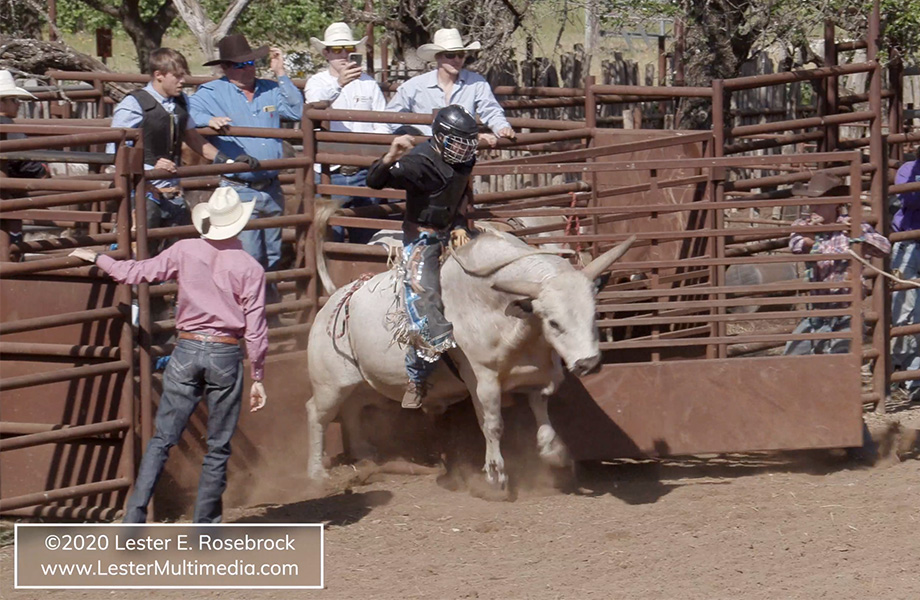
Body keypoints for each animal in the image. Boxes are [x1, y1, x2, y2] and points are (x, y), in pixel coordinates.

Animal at [306, 232, 636, 490]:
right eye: (554, 322)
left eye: (594, 313)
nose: (588, 363)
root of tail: (336, 300)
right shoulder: (483, 379)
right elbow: (492, 424)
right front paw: (495, 474)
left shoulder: (537, 375)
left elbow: (543, 417)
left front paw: (556, 455)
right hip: (329, 384)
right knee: (317, 414)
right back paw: (317, 474)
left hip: (362, 384)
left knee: (352, 409)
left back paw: (364, 454)